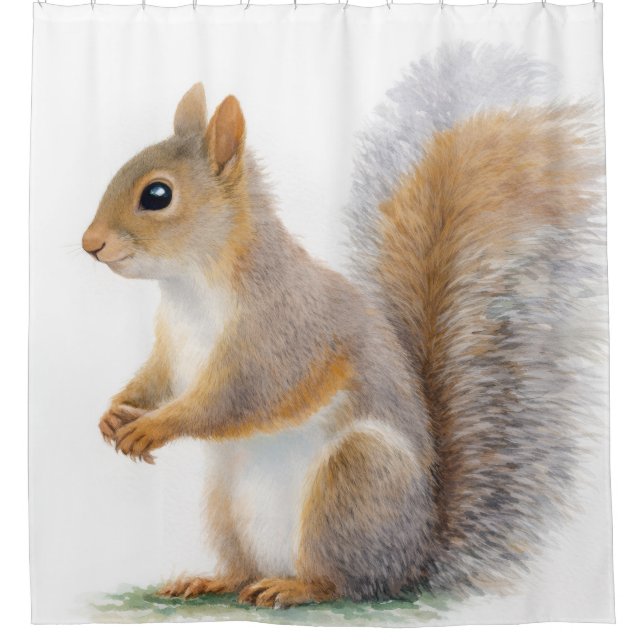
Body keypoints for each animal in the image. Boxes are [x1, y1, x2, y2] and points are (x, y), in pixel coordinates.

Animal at [82, 46, 605, 608]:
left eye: (157, 194)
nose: (90, 243)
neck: (190, 288)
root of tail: (417, 557)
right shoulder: (172, 347)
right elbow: (155, 380)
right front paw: (115, 413)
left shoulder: (283, 336)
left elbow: (232, 398)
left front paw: (153, 426)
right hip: (225, 499)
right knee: (245, 570)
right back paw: (212, 580)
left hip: (356, 480)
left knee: (346, 582)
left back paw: (295, 587)